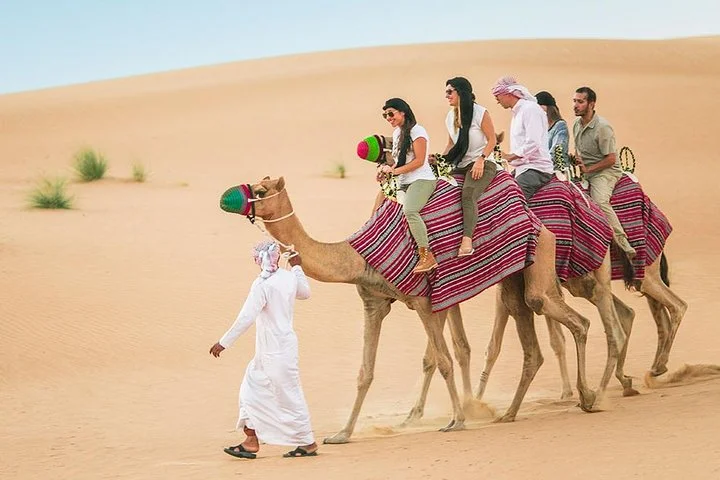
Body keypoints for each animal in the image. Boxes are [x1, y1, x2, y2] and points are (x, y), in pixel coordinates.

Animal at [224, 176, 599, 444]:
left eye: (260, 189)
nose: (227, 198)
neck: (355, 256)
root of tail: (534, 215)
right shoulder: (373, 303)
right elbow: (365, 372)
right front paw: (342, 434)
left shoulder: (423, 301)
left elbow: (443, 360)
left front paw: (457, 420)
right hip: (513, 278)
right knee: (533, 336)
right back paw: (510, 413)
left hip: (540, 259)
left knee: (571, 318)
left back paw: (587, 395)